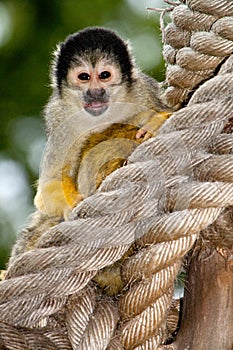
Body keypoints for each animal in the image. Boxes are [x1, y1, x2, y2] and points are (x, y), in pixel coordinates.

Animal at [33, 27, 170, 220]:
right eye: (84, 77)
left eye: (104, 75)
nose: (96, 92)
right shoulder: (59, 118)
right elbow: (45, 190)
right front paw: (70, 204)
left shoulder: (142, 90)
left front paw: (156, 121)